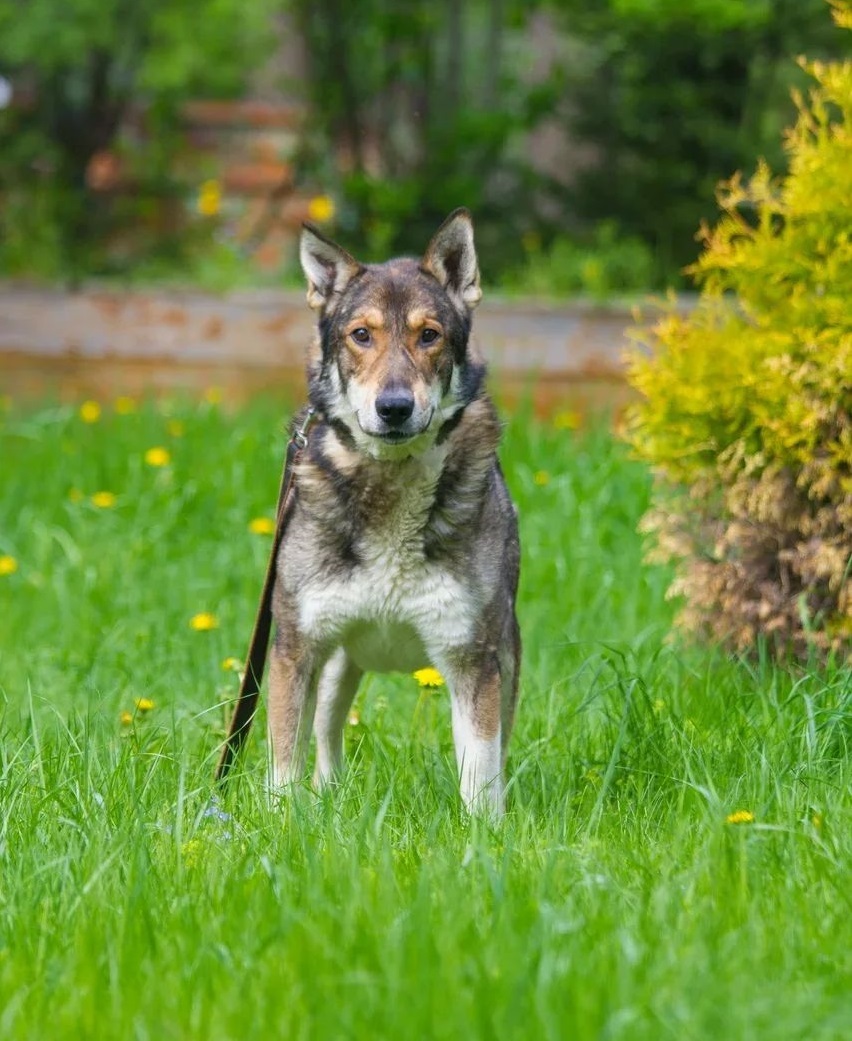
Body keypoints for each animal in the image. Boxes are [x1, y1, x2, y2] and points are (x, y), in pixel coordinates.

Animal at [268, 207, 518, 816]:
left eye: (429, 335)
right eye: (361, 335)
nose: (395, 407)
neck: (391, 483)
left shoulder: (473, 659)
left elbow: (481, 778)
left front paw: (487, 835)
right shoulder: (295, 650)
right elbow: (285, 769)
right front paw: (279, 827)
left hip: (506, 661)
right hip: (337, 665)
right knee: (326, 738)